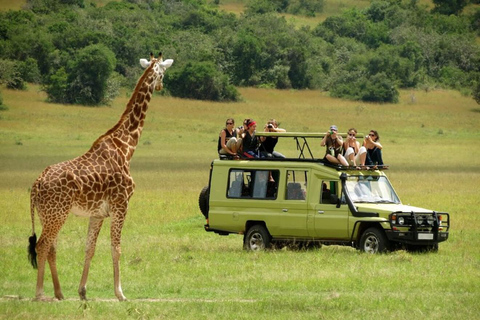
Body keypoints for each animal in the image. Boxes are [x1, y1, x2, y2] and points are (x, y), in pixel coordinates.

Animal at [27, 52, 172, 300]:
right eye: (163, 72)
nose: (162, 85)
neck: (126, 147)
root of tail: (36, 184)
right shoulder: (121, 205)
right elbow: (116, 248)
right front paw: (120, 293)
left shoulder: (97, 213)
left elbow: (90, 248)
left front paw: (82, 291)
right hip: (57, 213)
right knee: (42, 245)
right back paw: (39, 293)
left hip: (48, 214)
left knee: (51, 247)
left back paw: (59, 293)